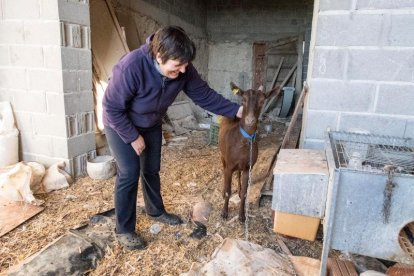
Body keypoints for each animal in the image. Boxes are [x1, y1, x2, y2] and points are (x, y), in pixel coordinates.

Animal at [218, 81, 280, 222]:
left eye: (262, 101)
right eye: (243, 100)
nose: (250, 120)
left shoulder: (248, 166)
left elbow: (246, 192)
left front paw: (242, 215)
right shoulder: (229, 165)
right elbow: (228, 191)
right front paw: (224, 213)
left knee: (239, 174)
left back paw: (239, 189)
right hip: (223, 154)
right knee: (224, 168)